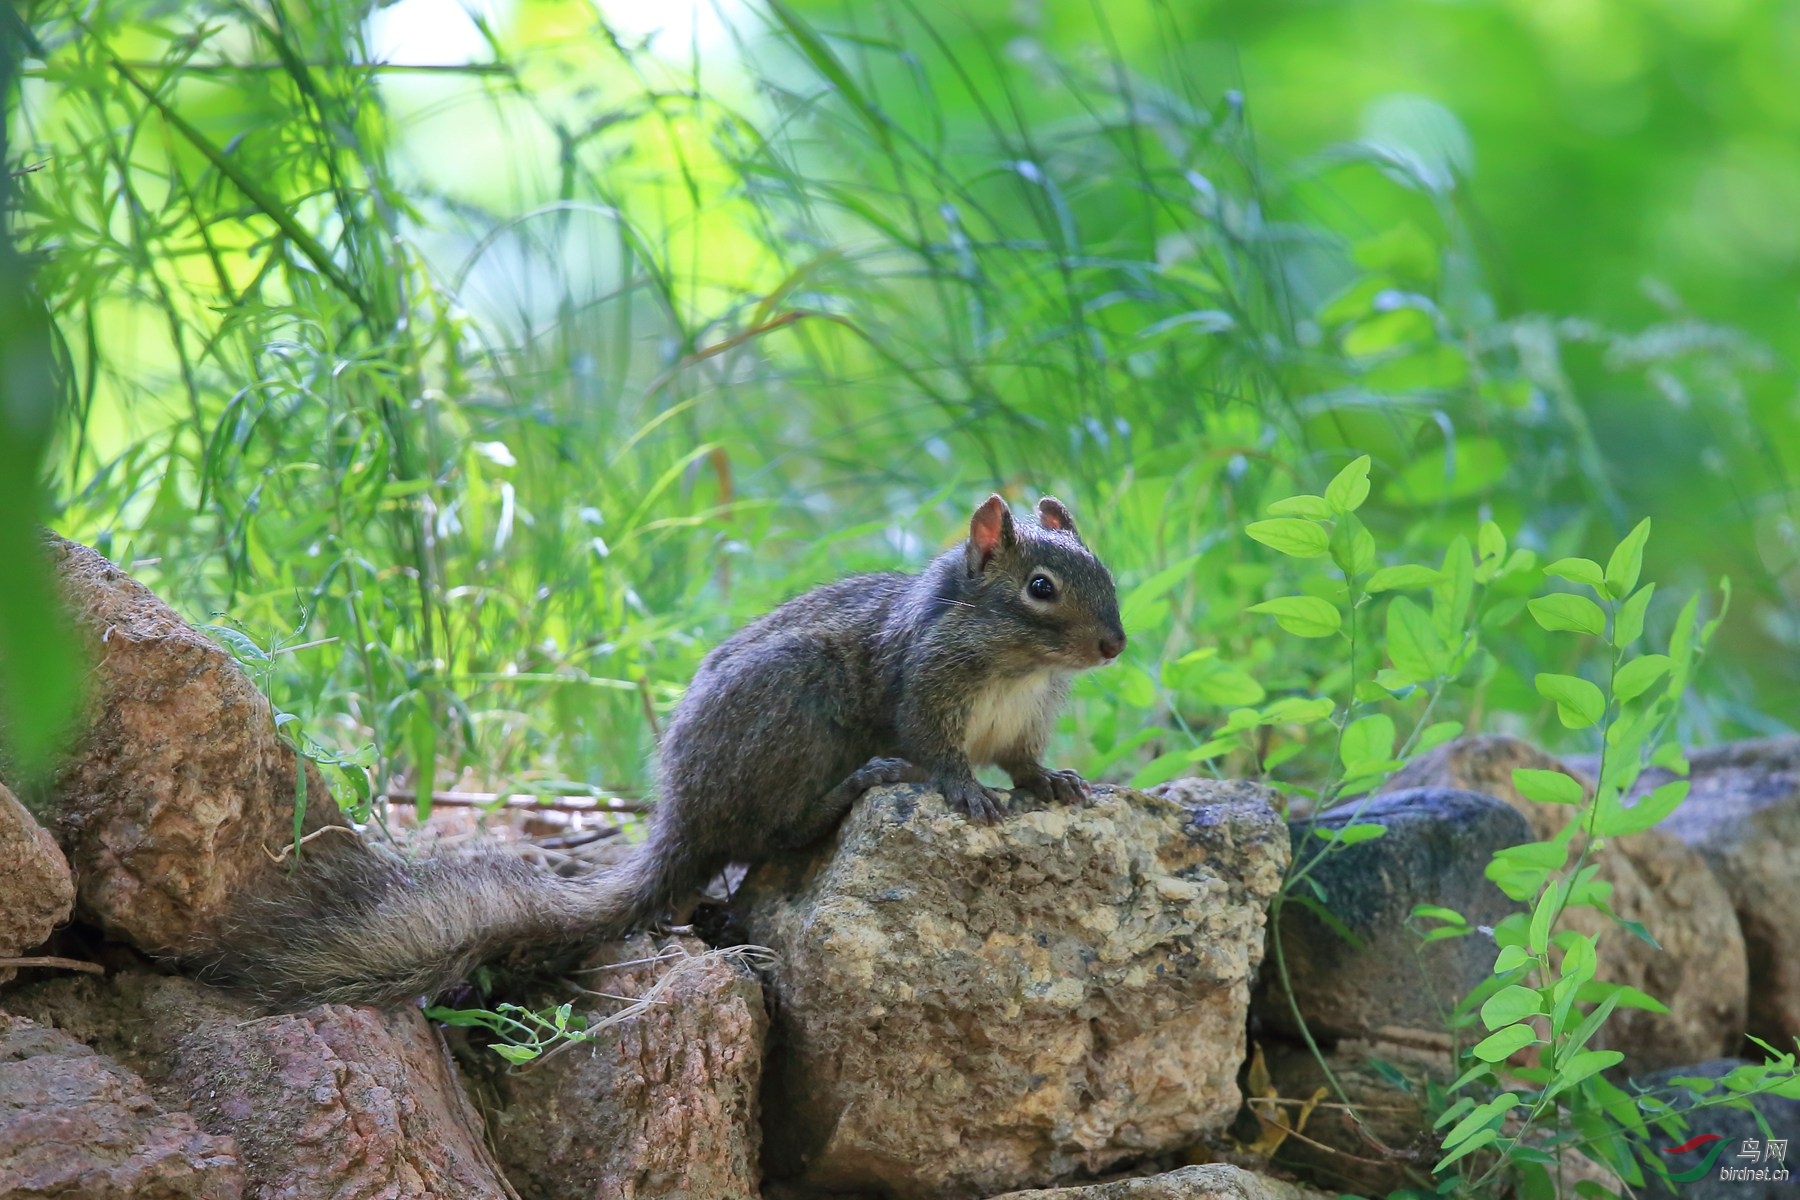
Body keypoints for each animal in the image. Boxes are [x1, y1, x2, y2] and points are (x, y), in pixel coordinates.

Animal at [204, 492, 1116, 1007]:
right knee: (772, 833)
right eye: (1040, 589)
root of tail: (684, 815)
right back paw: (860, 784)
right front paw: (963, 789)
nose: (1115, 645)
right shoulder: (924, 687)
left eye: (1104, 572)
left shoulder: (1027, 721)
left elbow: (1026, 760)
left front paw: (1058, 781)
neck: (1022, 668)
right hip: (796, 706)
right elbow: (939, 749)